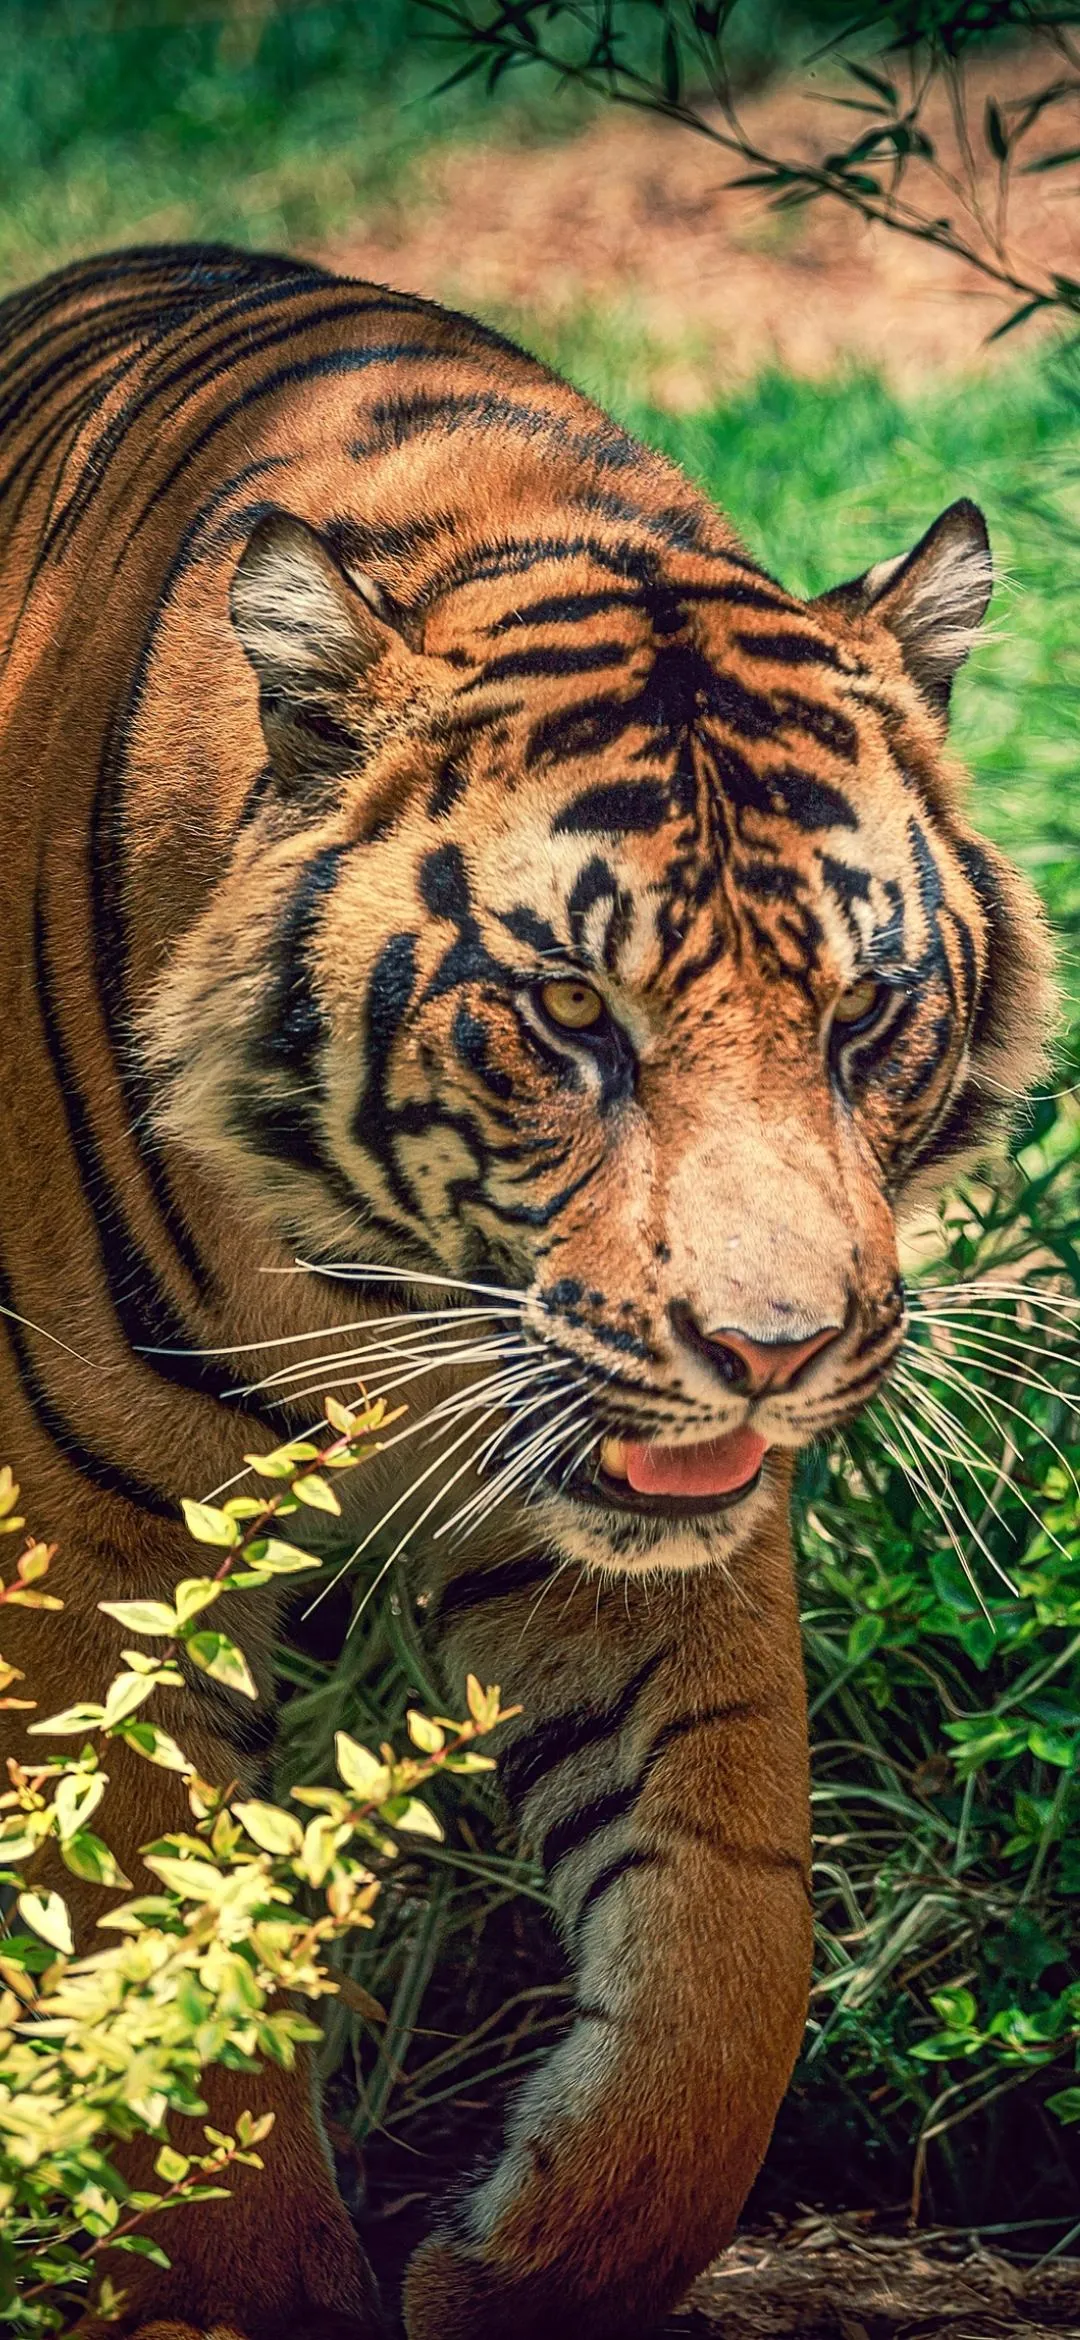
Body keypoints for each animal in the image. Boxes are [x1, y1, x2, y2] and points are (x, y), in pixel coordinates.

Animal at [0, 242, 1053, 2340]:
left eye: (863, 1016)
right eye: (573, 1015)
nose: (772, 1356)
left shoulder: (652, 1537)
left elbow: (727, 1961)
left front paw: (521, 2266)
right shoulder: (95, 1545)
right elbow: (171, 2020)